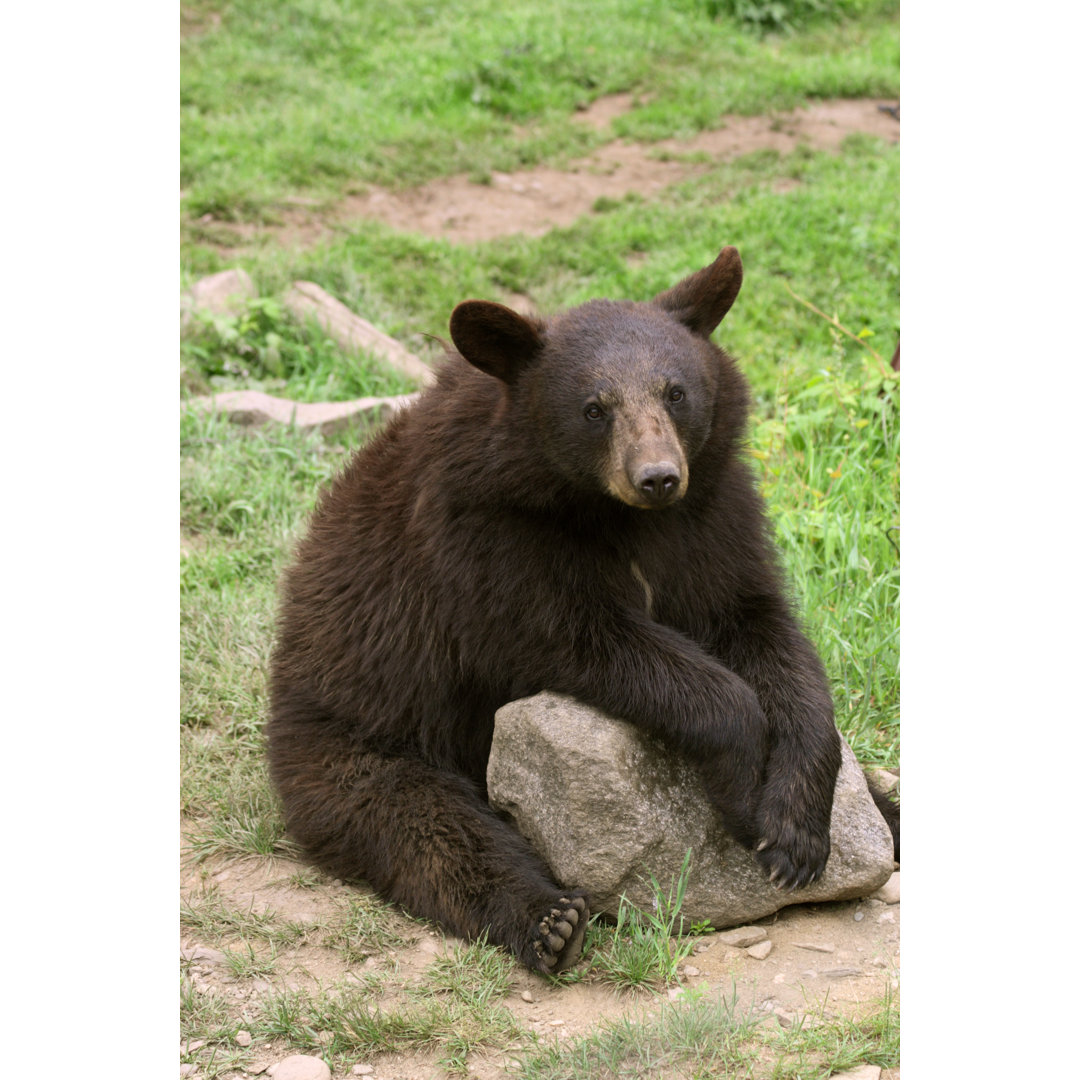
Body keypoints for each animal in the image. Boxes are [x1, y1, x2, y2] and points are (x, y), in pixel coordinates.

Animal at [265, 247, 898, 980]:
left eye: (675, 392)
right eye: (595, 408)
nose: (657, 476)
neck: (616, 516)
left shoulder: (713, 517)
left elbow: (762, 628)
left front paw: (793, 830)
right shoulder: (490, 539)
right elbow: (585, 638)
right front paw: (744, 793)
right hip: (356, 743)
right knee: (423, 827)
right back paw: (549, 921)